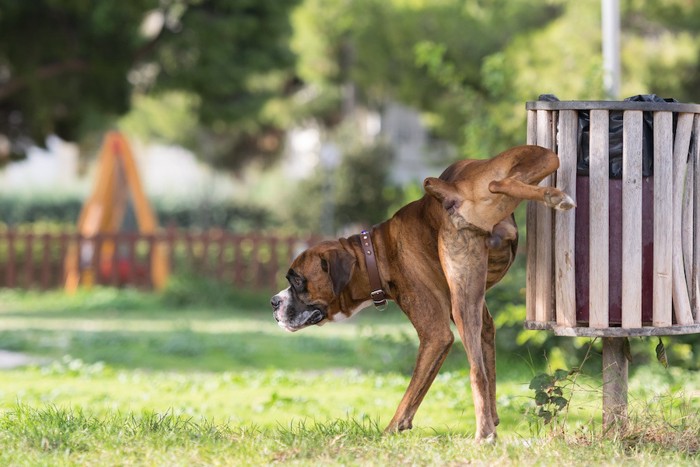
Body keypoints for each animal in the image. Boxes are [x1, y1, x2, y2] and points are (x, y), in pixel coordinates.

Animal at [270, 146, 576, 442]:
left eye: (297, 281)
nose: (274, 302)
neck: (375, 252)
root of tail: (452, 190)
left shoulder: (435, 335)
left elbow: (412, 392)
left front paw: (390, 431)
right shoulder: (484, 322)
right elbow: (489, 369)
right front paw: (494, 420)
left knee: (475, 372)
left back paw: (482, 435)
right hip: (539, 160)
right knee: (503, 181)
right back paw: (553, 196)